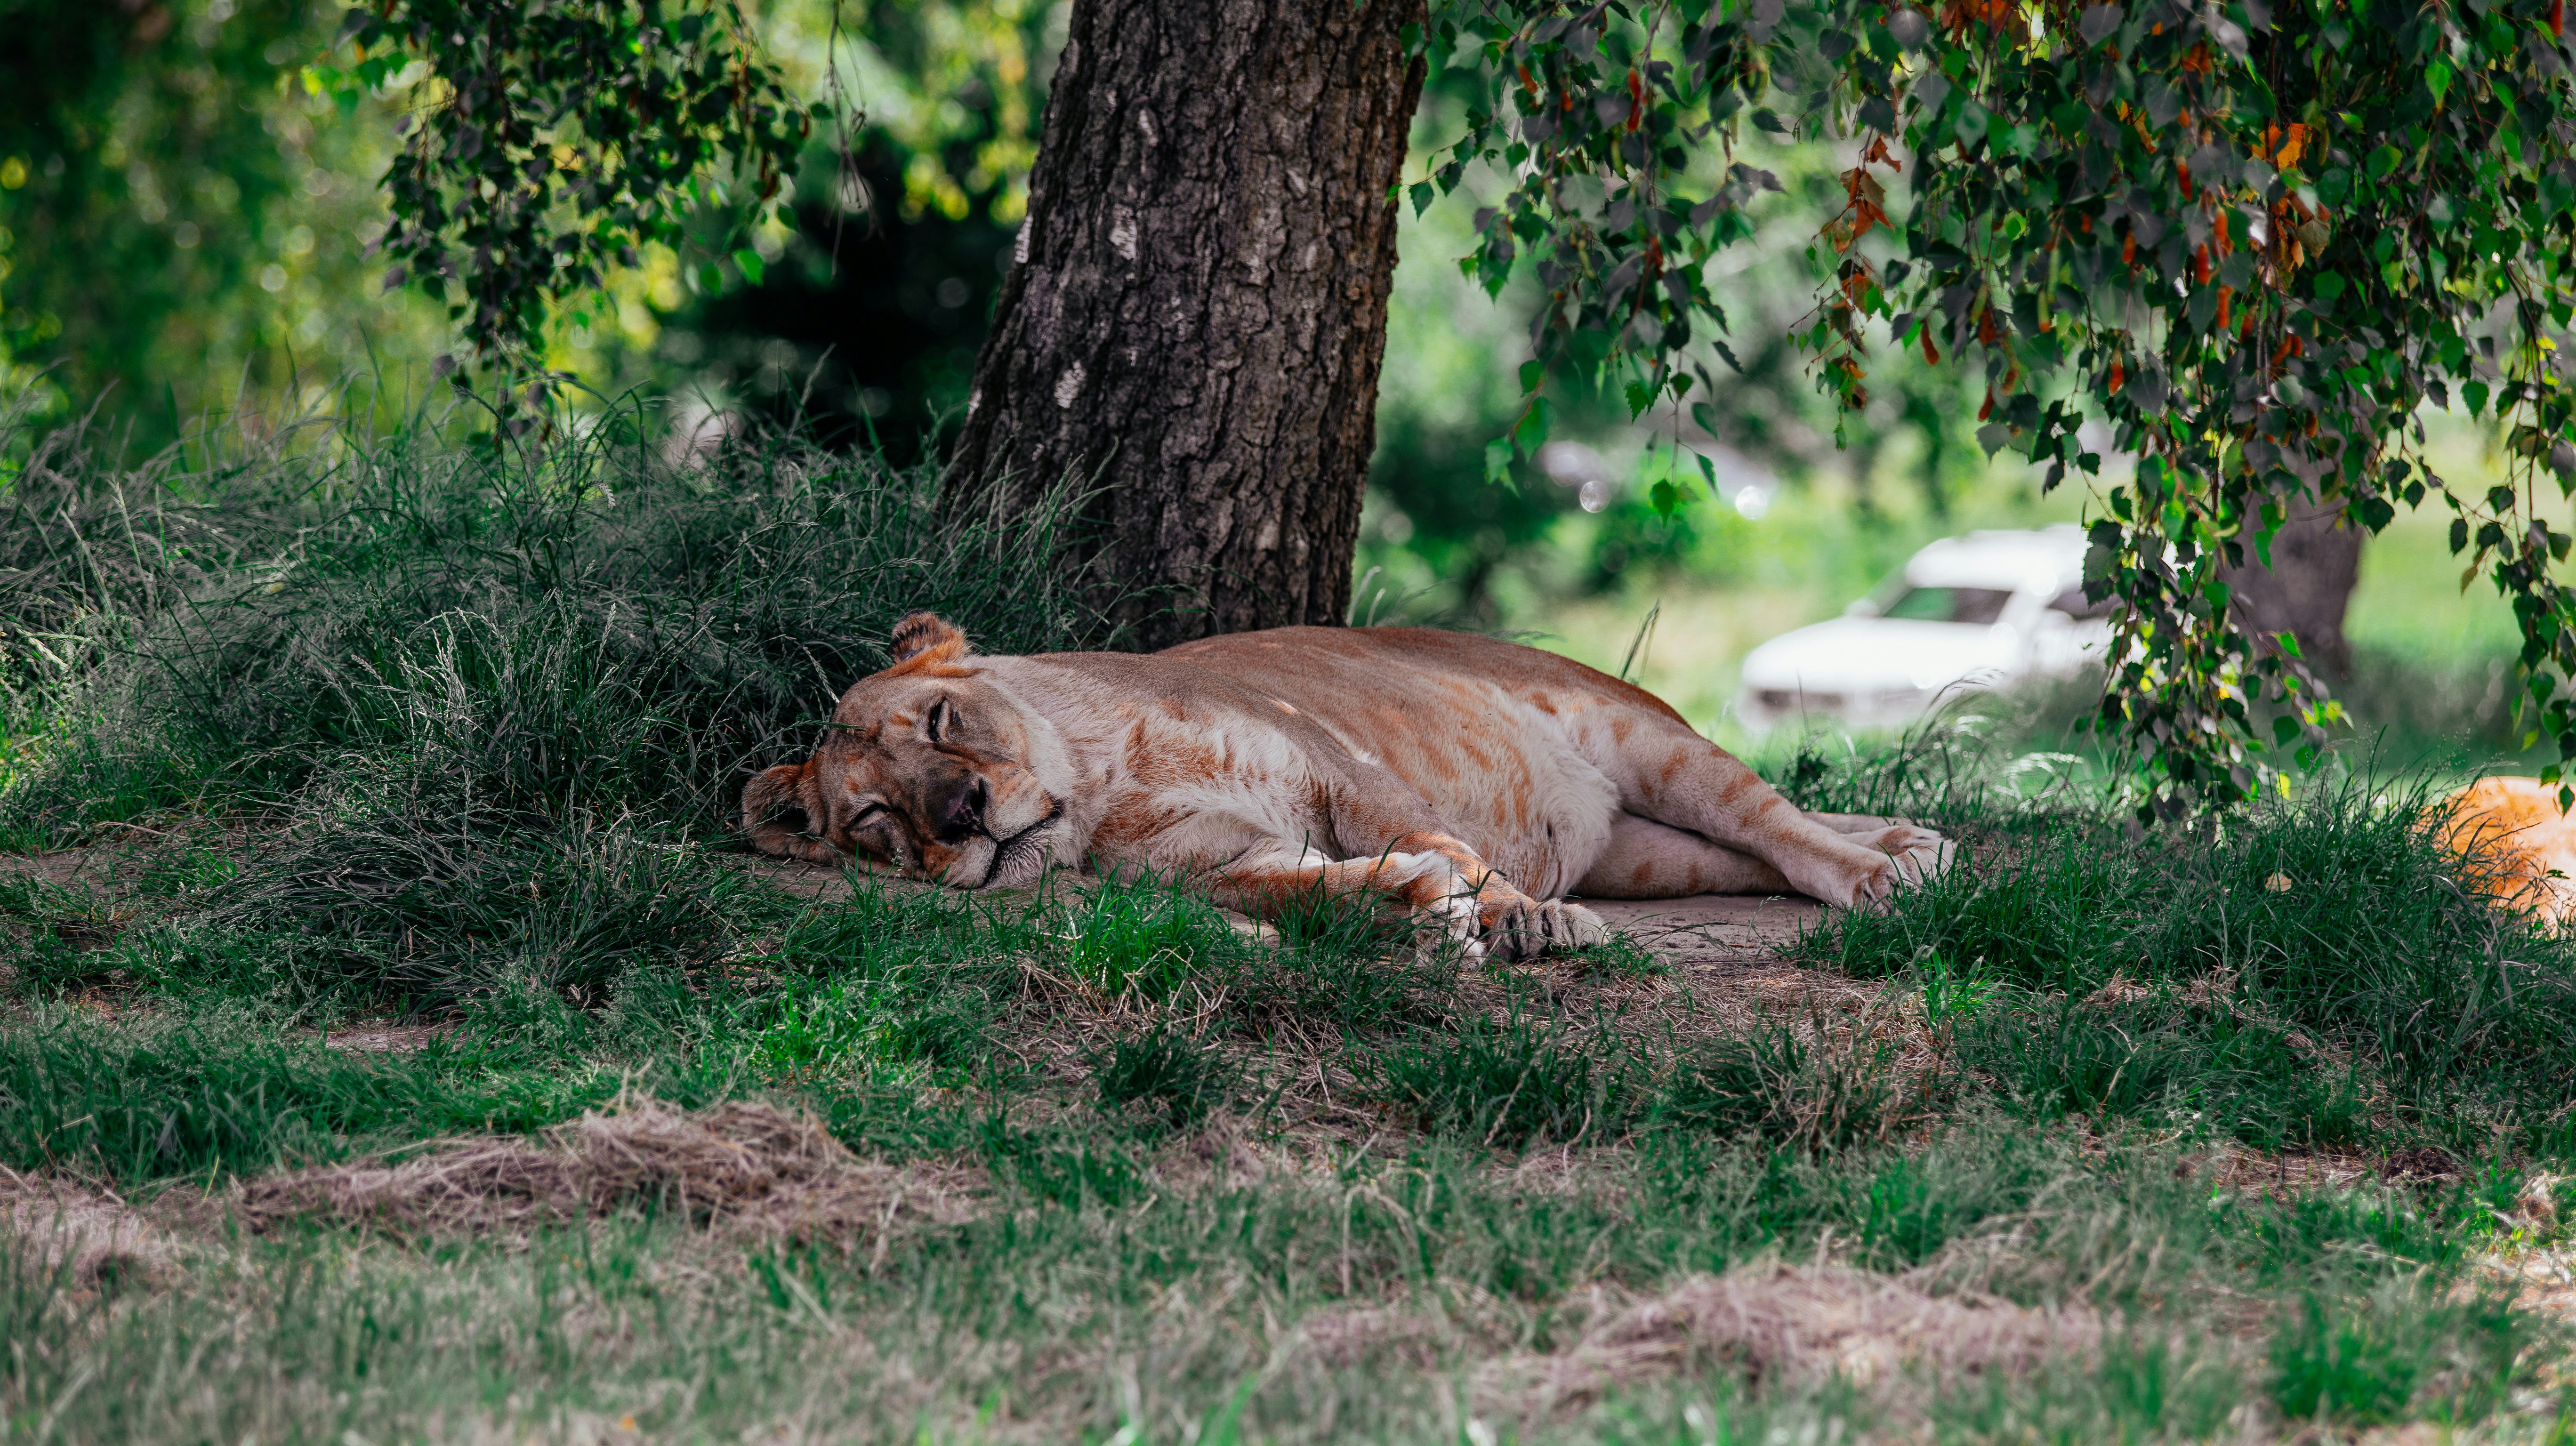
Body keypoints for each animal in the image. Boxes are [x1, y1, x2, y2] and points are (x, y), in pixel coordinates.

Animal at [740, 613, 1952, 959]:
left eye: (940, 723)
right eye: (874, 817)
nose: (957, 815)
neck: (1104, 782)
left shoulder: (1338, 766)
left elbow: (1435, 836)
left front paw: (1519, 918)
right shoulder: (1228, 865)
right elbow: (1306, 888)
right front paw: (1419, 905)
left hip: (1645, 739)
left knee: (1781, 825)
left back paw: (1892, 872)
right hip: (1644, 852)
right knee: (1748, 850)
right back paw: (1912, 841)